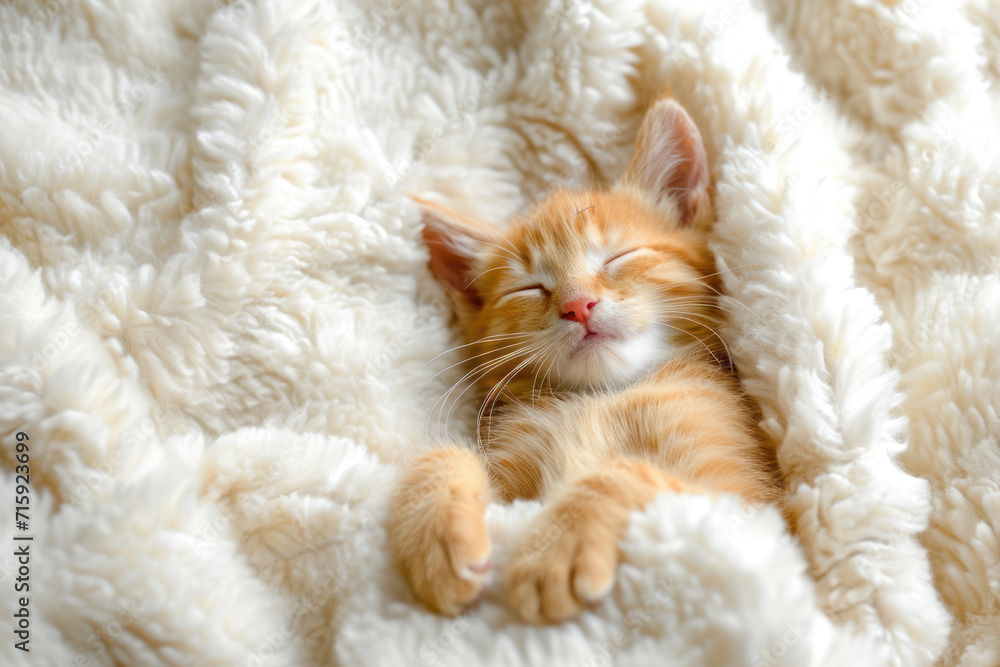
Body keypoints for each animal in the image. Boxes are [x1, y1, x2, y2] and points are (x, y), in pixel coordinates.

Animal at [388, 96, 780, 624]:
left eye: (617, 257)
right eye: (529, 288)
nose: (577, 304)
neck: (602, 395)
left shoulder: (749, 509)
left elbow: (624, 472)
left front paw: (559, 542)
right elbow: (440, 453)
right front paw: (434, 537)